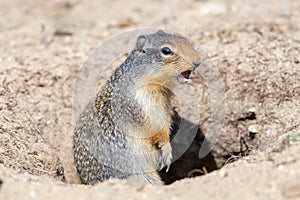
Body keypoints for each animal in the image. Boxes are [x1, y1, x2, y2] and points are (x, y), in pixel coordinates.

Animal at [73, 30, 202, 186]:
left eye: (186, 40)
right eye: (166, 51)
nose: (198, 61)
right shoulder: (142, 108)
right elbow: (157, 131)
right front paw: (167, 152)